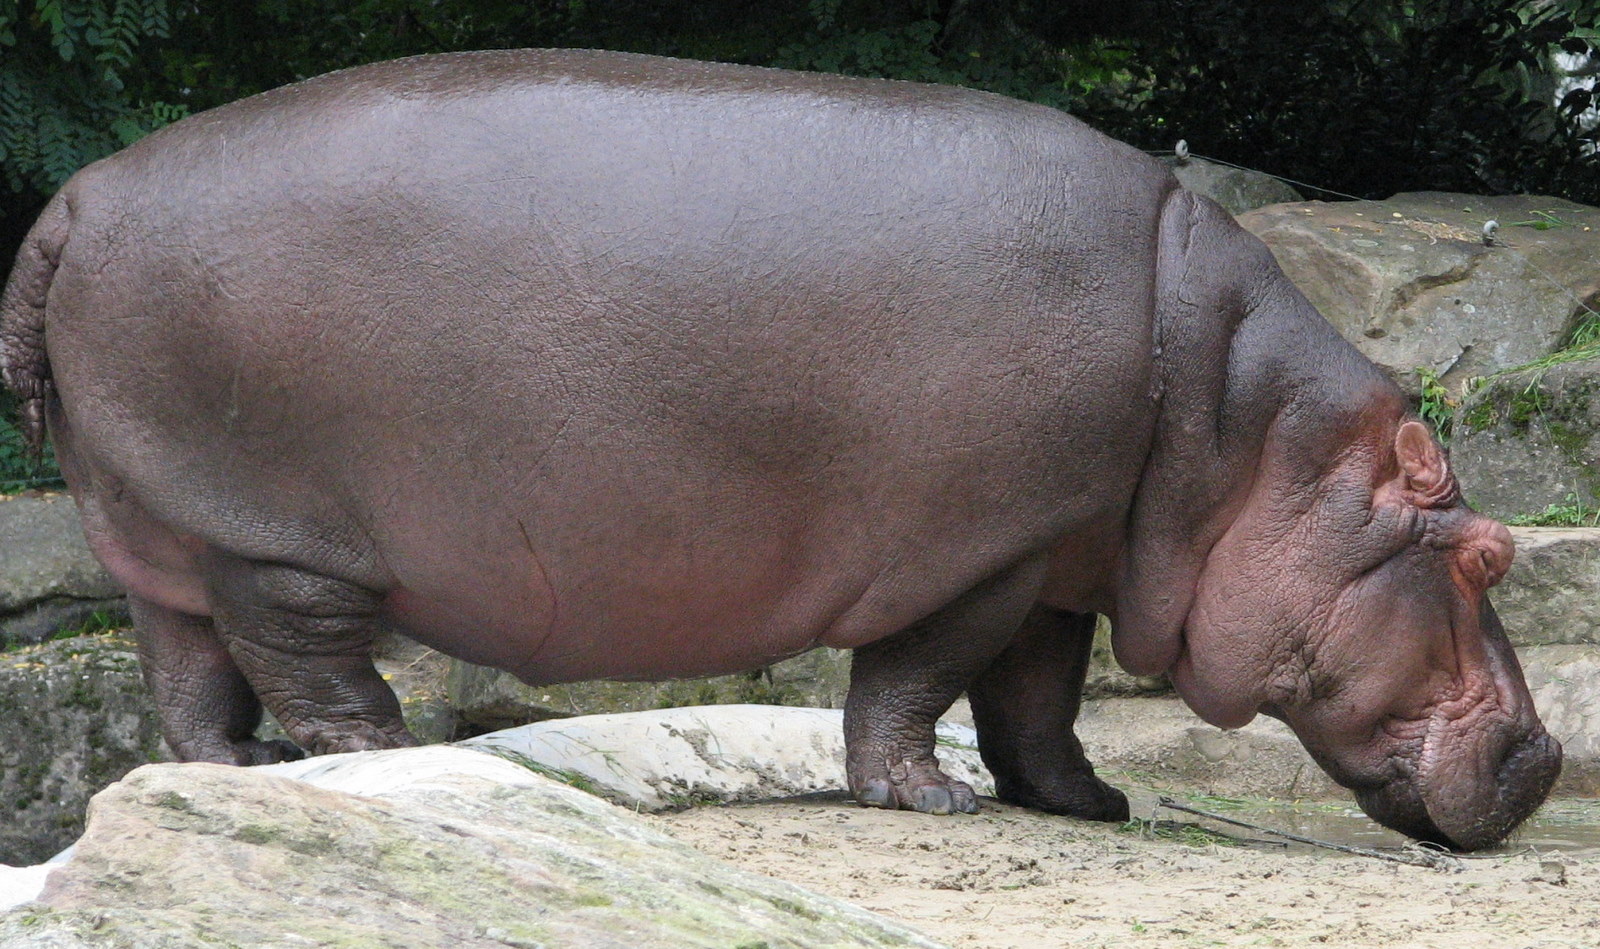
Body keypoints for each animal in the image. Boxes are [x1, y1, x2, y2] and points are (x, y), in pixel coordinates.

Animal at [0, 49, 1558, 850]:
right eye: (1486, 553)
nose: (1548, 758)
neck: (1252, 433)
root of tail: (74, 198)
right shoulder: (978, 550)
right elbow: (924, 676)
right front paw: (928, 800)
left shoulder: (1064, 543)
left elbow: (1039, 696)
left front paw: (1089, 803)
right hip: (274, 532)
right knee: (302, 653)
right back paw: (369, 752)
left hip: (162, 527)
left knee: (187, 673)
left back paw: (241, 770)